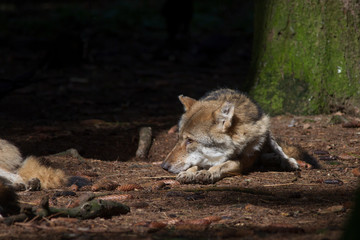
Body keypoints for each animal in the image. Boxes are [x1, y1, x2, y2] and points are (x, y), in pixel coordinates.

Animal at [162, 88, 316, 184]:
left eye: (190, 140)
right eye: (179, 138)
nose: (164, 166)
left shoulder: (242, 160)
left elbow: (222, 165)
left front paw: (208, 173)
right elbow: (196, 165)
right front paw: (189, 173)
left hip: (266, 129)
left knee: (278, 149)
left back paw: (287, 161)